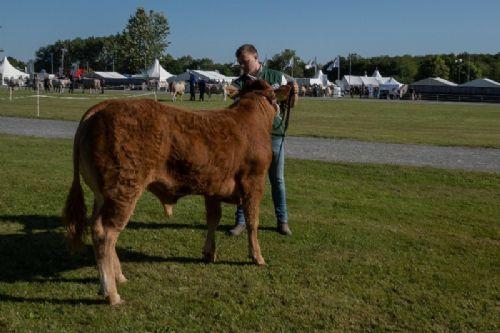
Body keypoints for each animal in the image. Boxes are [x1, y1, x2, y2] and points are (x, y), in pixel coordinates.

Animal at [62, 80, 292, 304]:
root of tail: (104, 105)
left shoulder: (213, 186)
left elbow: (213, 219)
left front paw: (209, 253)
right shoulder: (254, 182)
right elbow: (253, 222)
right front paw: (257, 257)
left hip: (103, 195)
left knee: (98, 229)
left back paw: (118, 276)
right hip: (123, 189)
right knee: (105, 234)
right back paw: (111, 292)